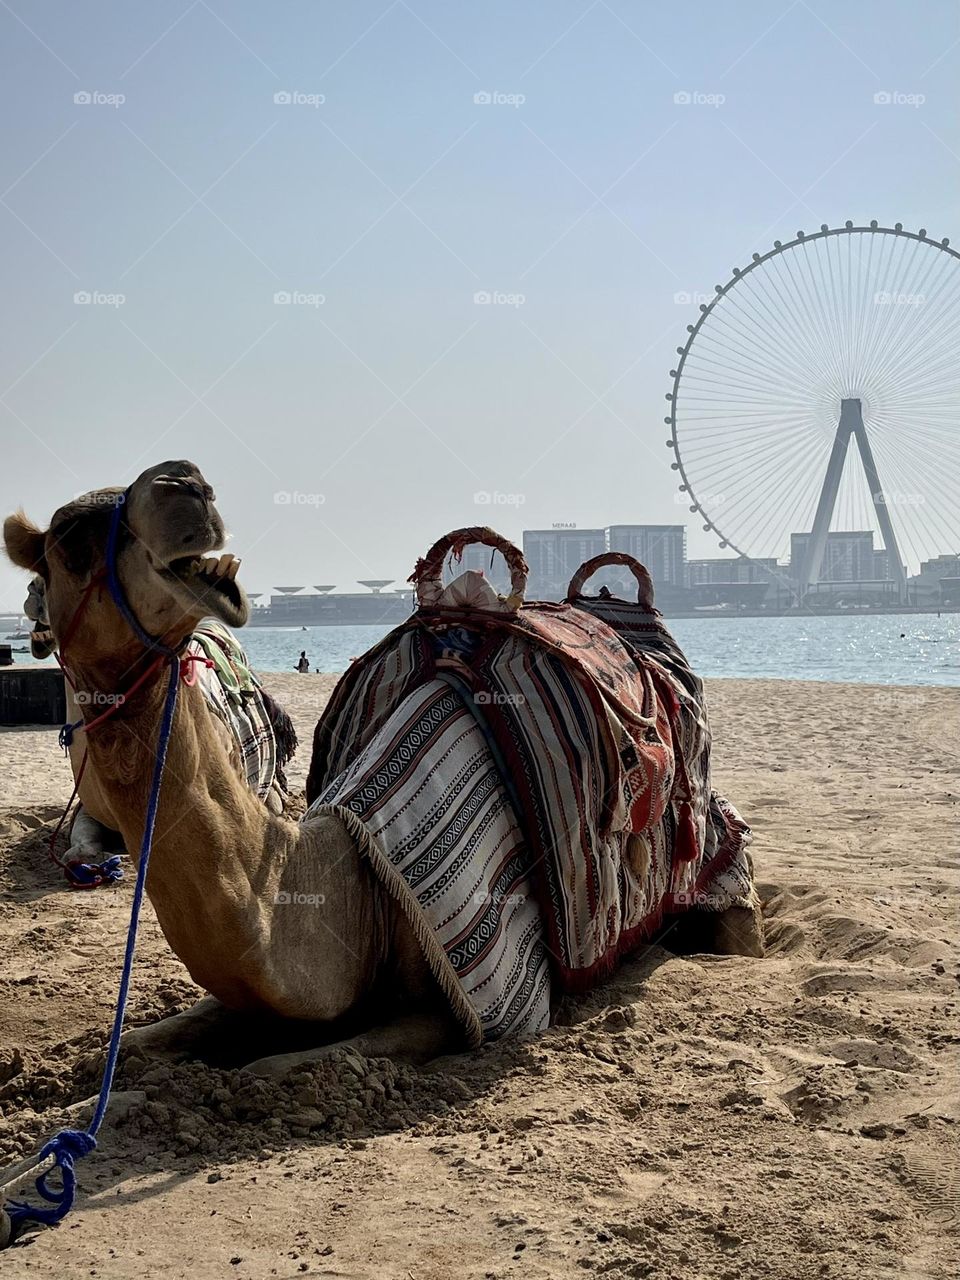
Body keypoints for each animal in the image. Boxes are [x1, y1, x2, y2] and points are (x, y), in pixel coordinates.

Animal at [4, 460, 763, 1076]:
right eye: (68, 540)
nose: (184, 485)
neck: (353, 888)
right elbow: (135, 1044)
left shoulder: (458, 1005)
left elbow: (275, 1067)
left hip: (719, 874)